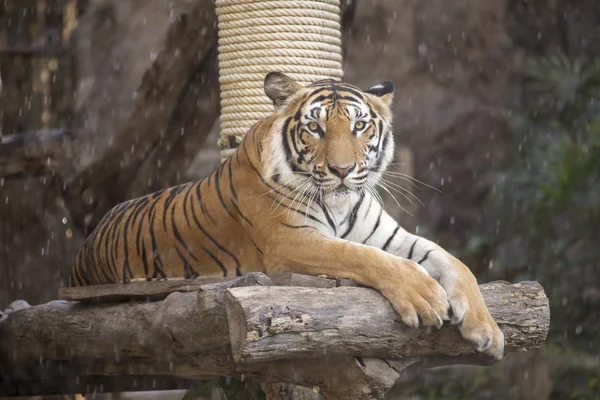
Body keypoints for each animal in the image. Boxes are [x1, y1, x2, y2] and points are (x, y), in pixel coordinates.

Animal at [68, 72, 504, 360]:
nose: (342, 170)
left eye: (360, 126)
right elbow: (360, 256)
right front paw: (424, 297)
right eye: (315, 128)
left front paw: (488, 330)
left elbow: (453, 261)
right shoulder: (289, 240)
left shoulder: (388, 236)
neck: (340, 202)